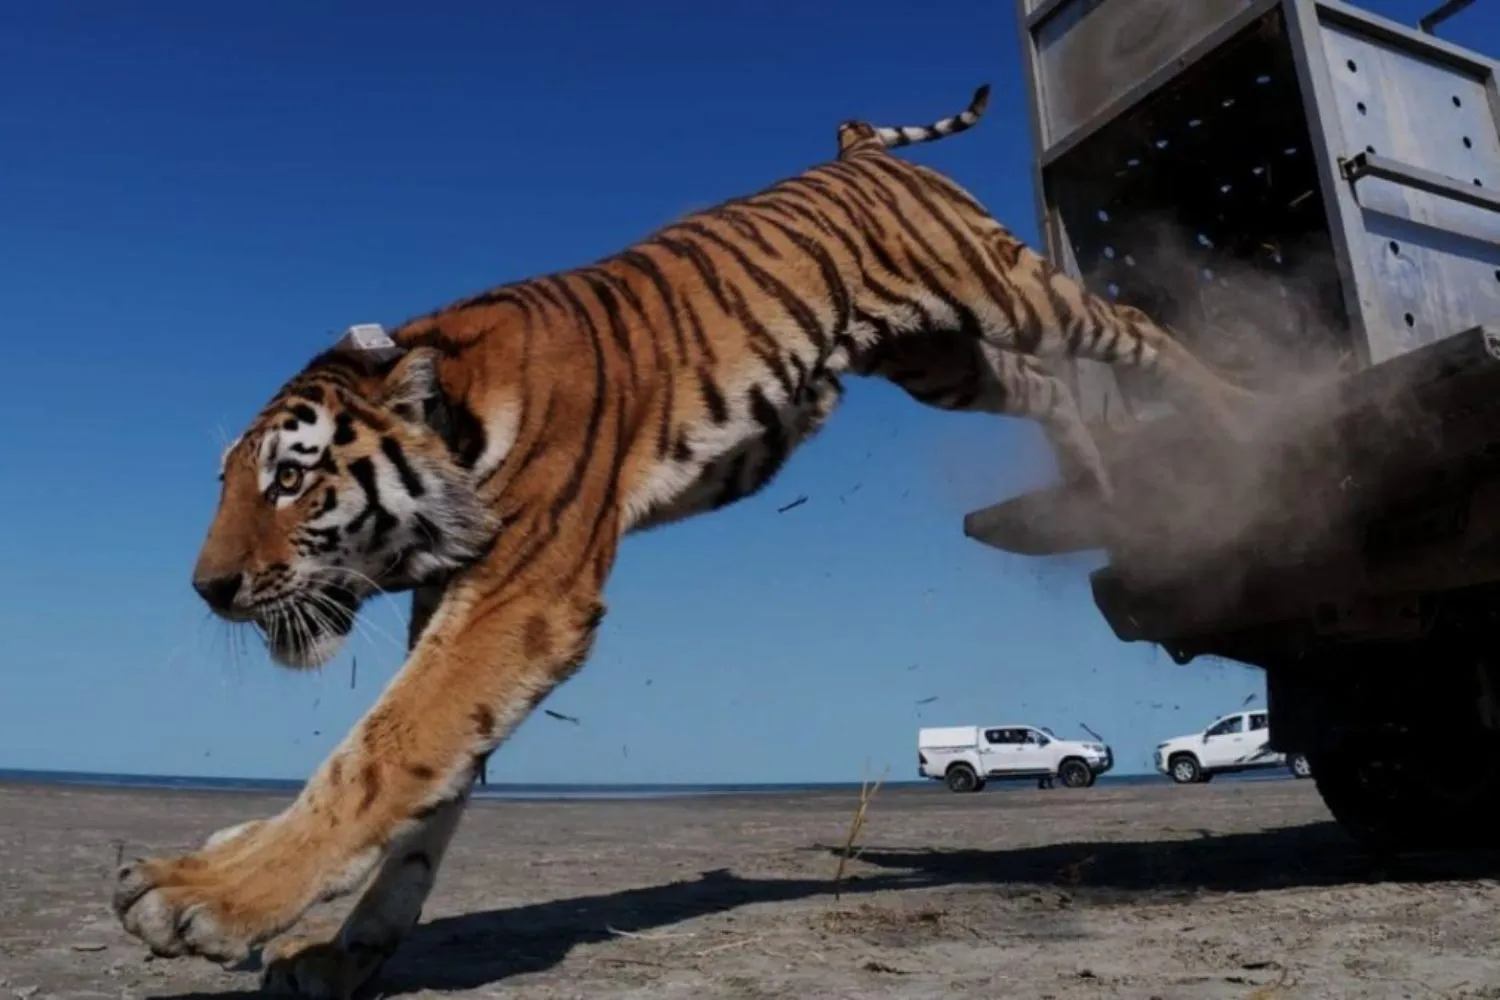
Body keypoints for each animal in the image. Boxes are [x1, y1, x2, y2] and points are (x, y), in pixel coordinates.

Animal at [113, 83, 1253, 995]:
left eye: (290, 479)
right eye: (230, 481)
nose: (207, 588)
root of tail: (858, 153)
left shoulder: (522, 598)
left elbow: (380, 751)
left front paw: (200, 893)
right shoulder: (460, 604)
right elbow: (432, 787)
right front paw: (341, 952)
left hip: (1004, 287)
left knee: (1130, 332)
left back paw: (1243, 413)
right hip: (942, 358)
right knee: (1045, 387)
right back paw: (1094, 476)